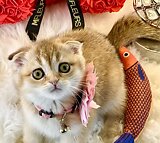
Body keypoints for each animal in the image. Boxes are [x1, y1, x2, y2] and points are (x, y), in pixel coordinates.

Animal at [8, 15, 160, 143]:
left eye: (64, 67)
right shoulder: (32, 126)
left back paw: (108, 134)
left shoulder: (76, 135)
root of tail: (109, 42)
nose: (54, 81)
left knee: (116, 113)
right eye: (38, 74)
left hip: (114, 94)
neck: (54, 112)